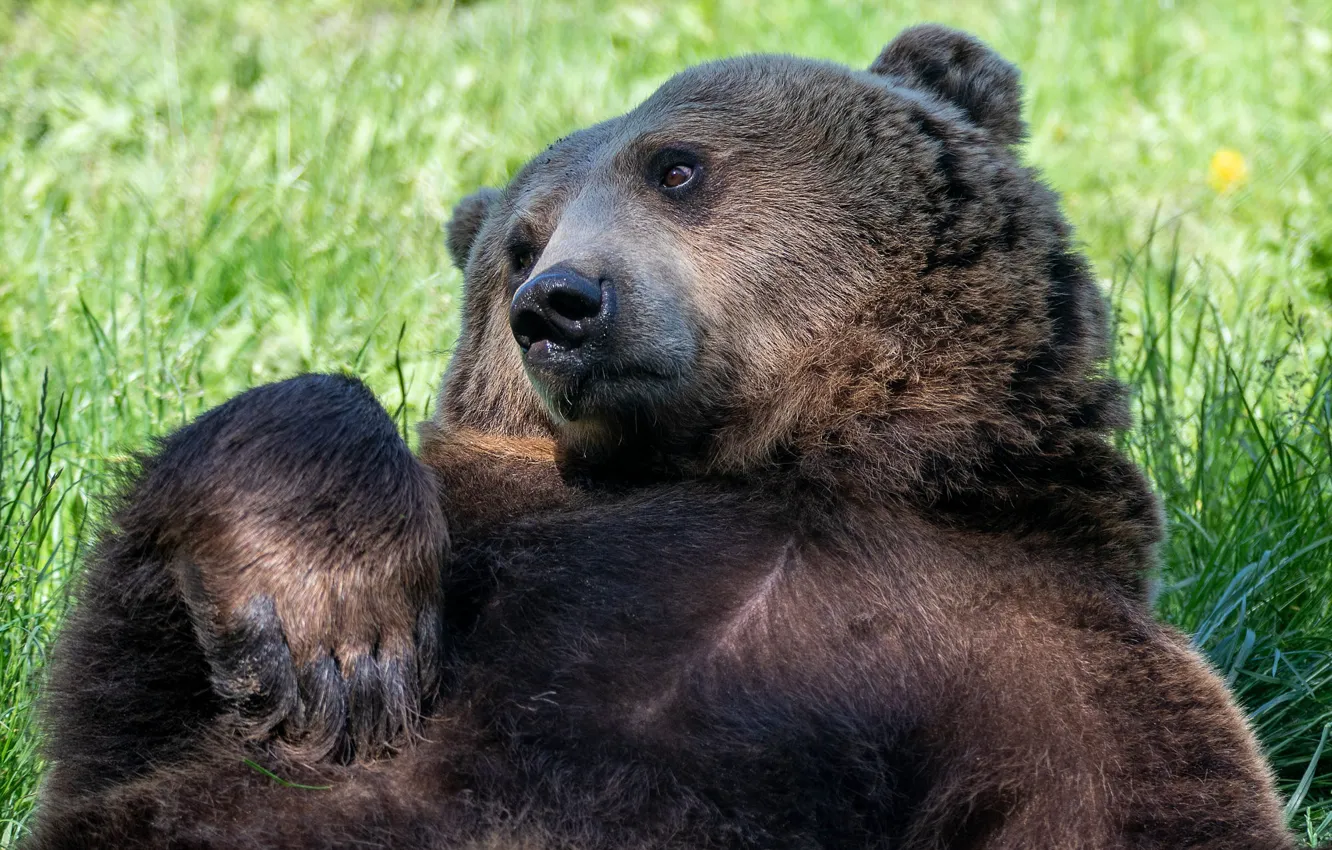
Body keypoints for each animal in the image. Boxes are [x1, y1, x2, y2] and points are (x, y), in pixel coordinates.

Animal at [23, 24, 1295, 850]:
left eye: (677, 166)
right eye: (519, 242)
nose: (560, 304)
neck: (782, 465)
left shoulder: (1040, 650)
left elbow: (1148, 806)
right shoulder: (498, 525)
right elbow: (133, 703)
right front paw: (334, 626)